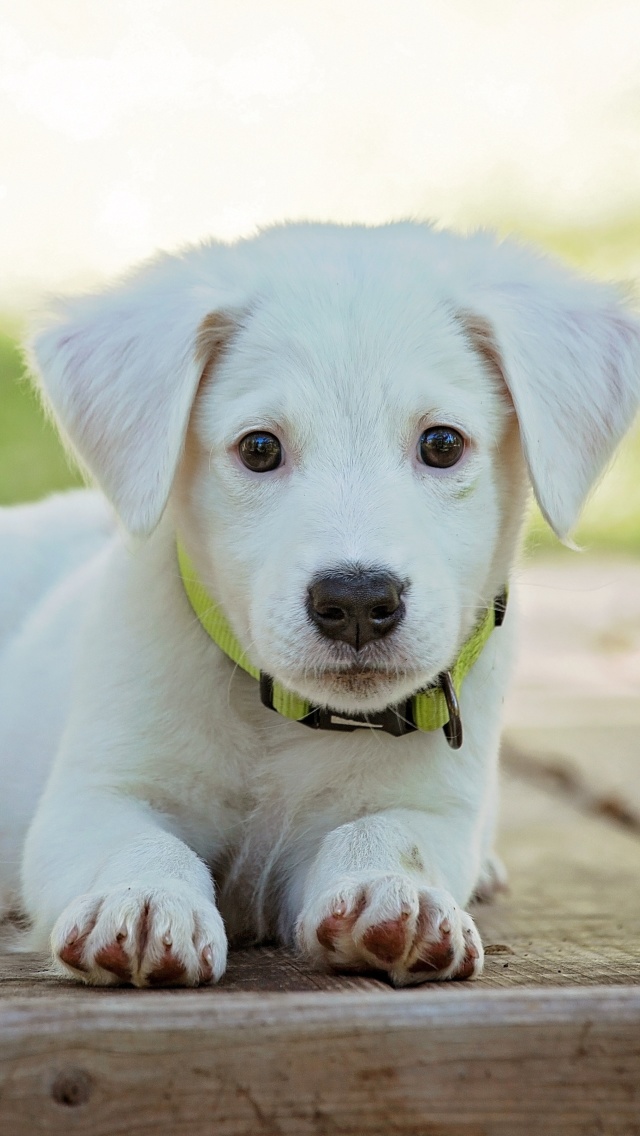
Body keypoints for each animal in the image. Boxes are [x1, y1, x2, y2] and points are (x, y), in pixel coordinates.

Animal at [0, 223, 636, 986]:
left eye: (442, 443)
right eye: (259, 448)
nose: (357, 600)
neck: (285, 721)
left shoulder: (432, 808)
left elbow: (384, 832)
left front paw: (393, 891)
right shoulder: (96, 795)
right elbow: (136, 842)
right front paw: (141, 900)